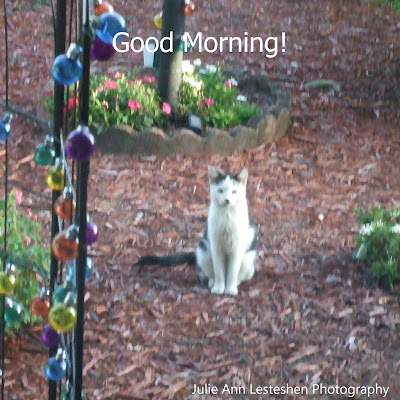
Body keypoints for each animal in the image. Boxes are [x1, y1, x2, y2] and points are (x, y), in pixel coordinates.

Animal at [134, 166, 260, 296]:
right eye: (220, 191)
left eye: (234, 192)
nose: (227, 200)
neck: (227, 216)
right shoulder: (216, 247)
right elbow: (218, 270)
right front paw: (219, 287)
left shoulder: (237, 249)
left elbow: (232, 272)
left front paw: (230, 289)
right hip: (204, 251)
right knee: (208, 273)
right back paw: (212, 282)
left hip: (247, 258)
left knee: (243, 275)